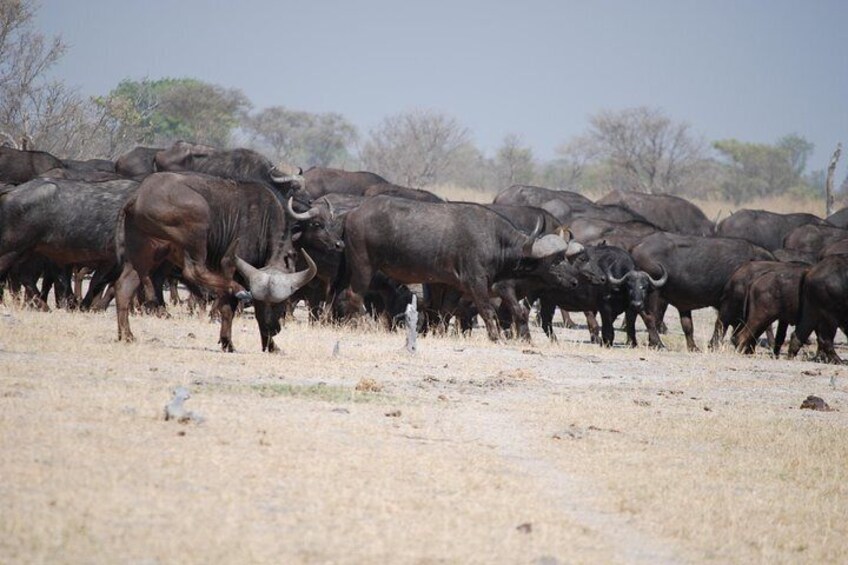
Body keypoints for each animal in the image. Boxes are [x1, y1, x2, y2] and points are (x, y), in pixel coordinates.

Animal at [114, 171, 316, 352]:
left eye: (279, 303)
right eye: (269, 304)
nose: (271, 329)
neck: (264, 219)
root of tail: (137, 197)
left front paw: (270, 346)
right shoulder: (230, 262)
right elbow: (228, 307)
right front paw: (228, 342)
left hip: (144, 256)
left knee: (124, 286)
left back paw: (127, 335)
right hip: (197, 226)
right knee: (193, 271)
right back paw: (238, 289)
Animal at [628, 232, 776, 348]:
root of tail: (636, 245)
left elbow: (689, 326)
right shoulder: (728, 302)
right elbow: (721, 323)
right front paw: (713, 345)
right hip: (653, 296)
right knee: (650, 317)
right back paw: (657, 343)